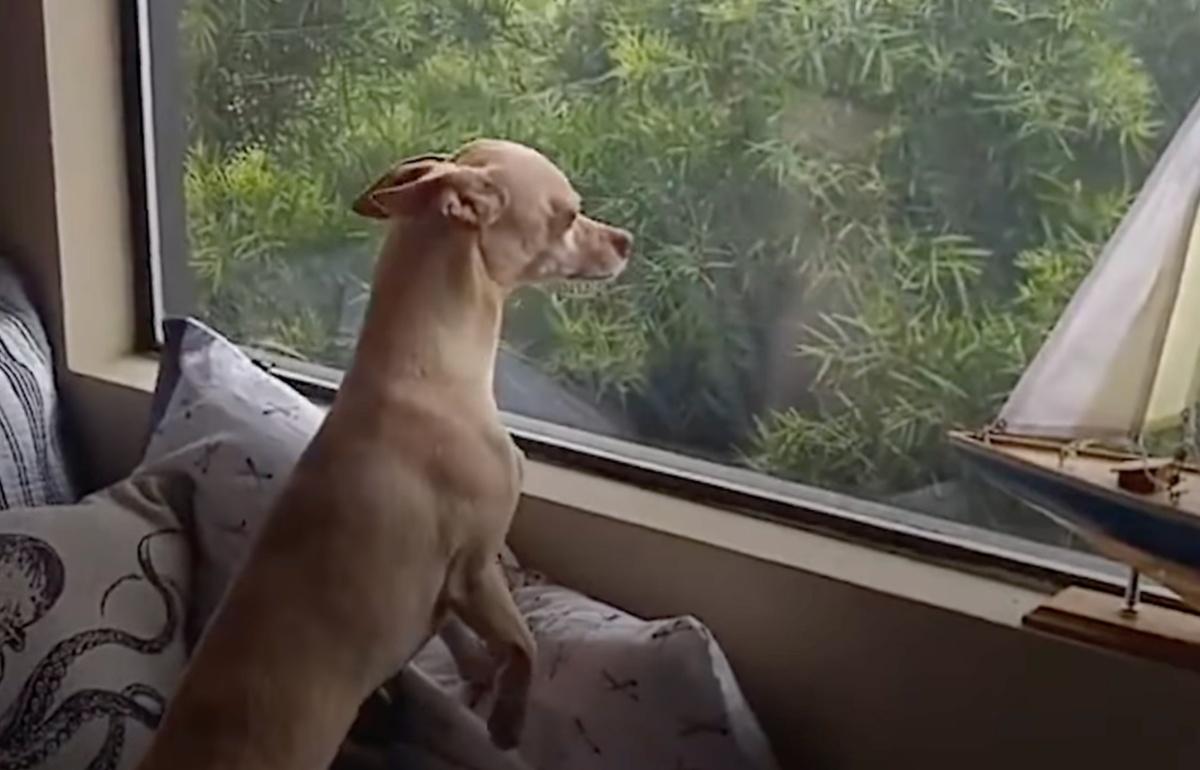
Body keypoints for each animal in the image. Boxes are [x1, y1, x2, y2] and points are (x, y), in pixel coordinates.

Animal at [136, 139, 633, 767]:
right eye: (568, 215)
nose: (627, 241)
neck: (429, 366)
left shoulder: (448, 586)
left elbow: (459, 634)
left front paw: (478, 674)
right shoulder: (476, 566)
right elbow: (524, 644)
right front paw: (506, 723)